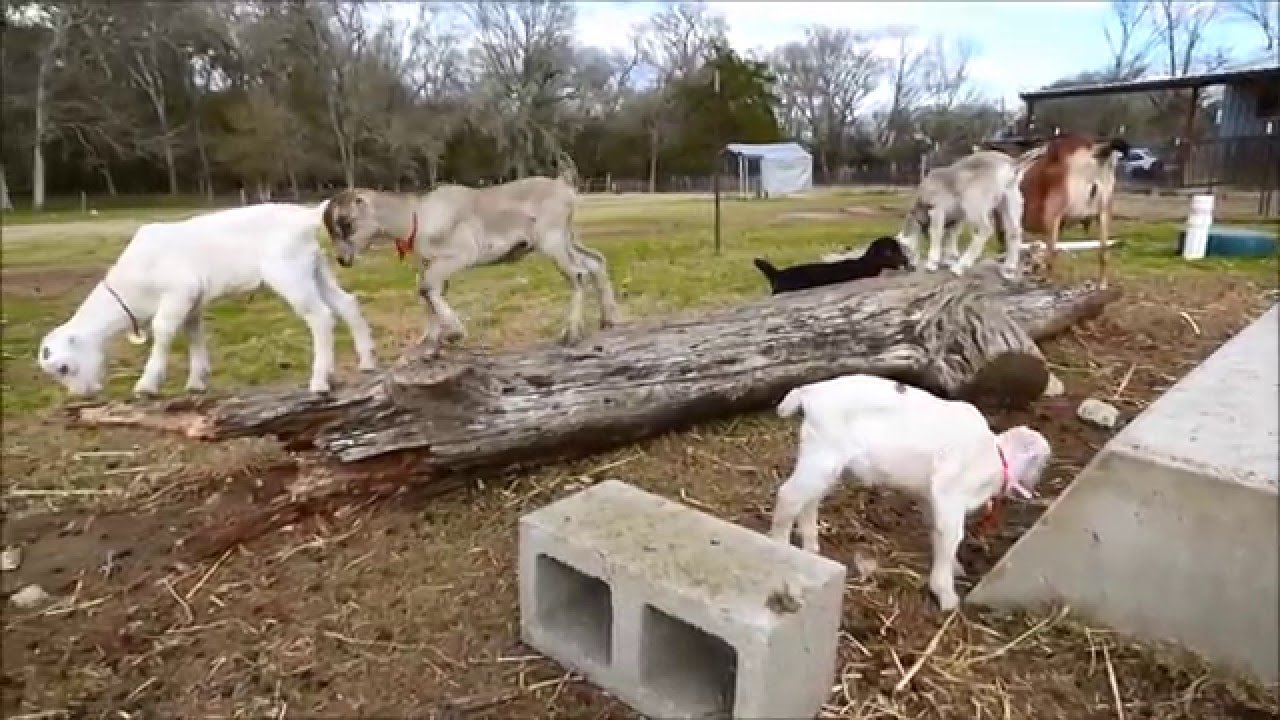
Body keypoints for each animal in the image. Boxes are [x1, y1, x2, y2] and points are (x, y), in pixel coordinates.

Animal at [37, 201, 377, 398]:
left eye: (64, 367)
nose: (81, 396)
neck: (133, 284)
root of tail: (307, 217)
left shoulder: (178, 291)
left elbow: (163, 331)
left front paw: (147, 385)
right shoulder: (193, 300)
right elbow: (194, 334)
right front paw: (197, 381)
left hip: (288, 272)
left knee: (320, 316)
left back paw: (320, 380)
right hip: (315, 268)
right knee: (346, 303)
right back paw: (367, 363)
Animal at [321, 159, 620, 349]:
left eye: (345, 223)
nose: (342, 260)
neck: (416, 217)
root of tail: (563, 186)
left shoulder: (459, 255)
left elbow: (426, 288)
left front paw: (453, 334)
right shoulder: (430, 263)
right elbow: (427, 292)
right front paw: (429, 340)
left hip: (552, 239)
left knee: (577, 274)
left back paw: (571, 334)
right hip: (568, 237)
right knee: (595, 261)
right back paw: (608, 319)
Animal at [768, 374, 1052, 611]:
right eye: (1041, 462)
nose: (1035, 484)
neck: (994, 457)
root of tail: (808, 393)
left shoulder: (930, 496)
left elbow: (938, 531)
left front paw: (955, 568)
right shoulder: (948, 492)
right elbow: (951, 535)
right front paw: (947, 596)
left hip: (825, 459)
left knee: (809, 500)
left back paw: (810, 549)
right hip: (824, 454)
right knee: (789, 495)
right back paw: (781, 547)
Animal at [896, 149, 1046, 281]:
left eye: (903, 249)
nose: (911, 267)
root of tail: (1011, 164)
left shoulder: (937, 208)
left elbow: (937, 232)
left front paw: (932, 263)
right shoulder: (958, 216)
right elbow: (952, 234)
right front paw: (949, 259)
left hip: (975, 201)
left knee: (986, 229)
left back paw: (960, 267)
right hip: (1010, 199)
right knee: (1014, 232)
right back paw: (1008, 270)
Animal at [992, 134, 1130, 284]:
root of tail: (1096, 152)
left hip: (1053, 214)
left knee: (1052, 252)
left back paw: (1046, 279)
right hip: (1103, 213)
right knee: (1103, 252)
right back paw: (1101, 284)